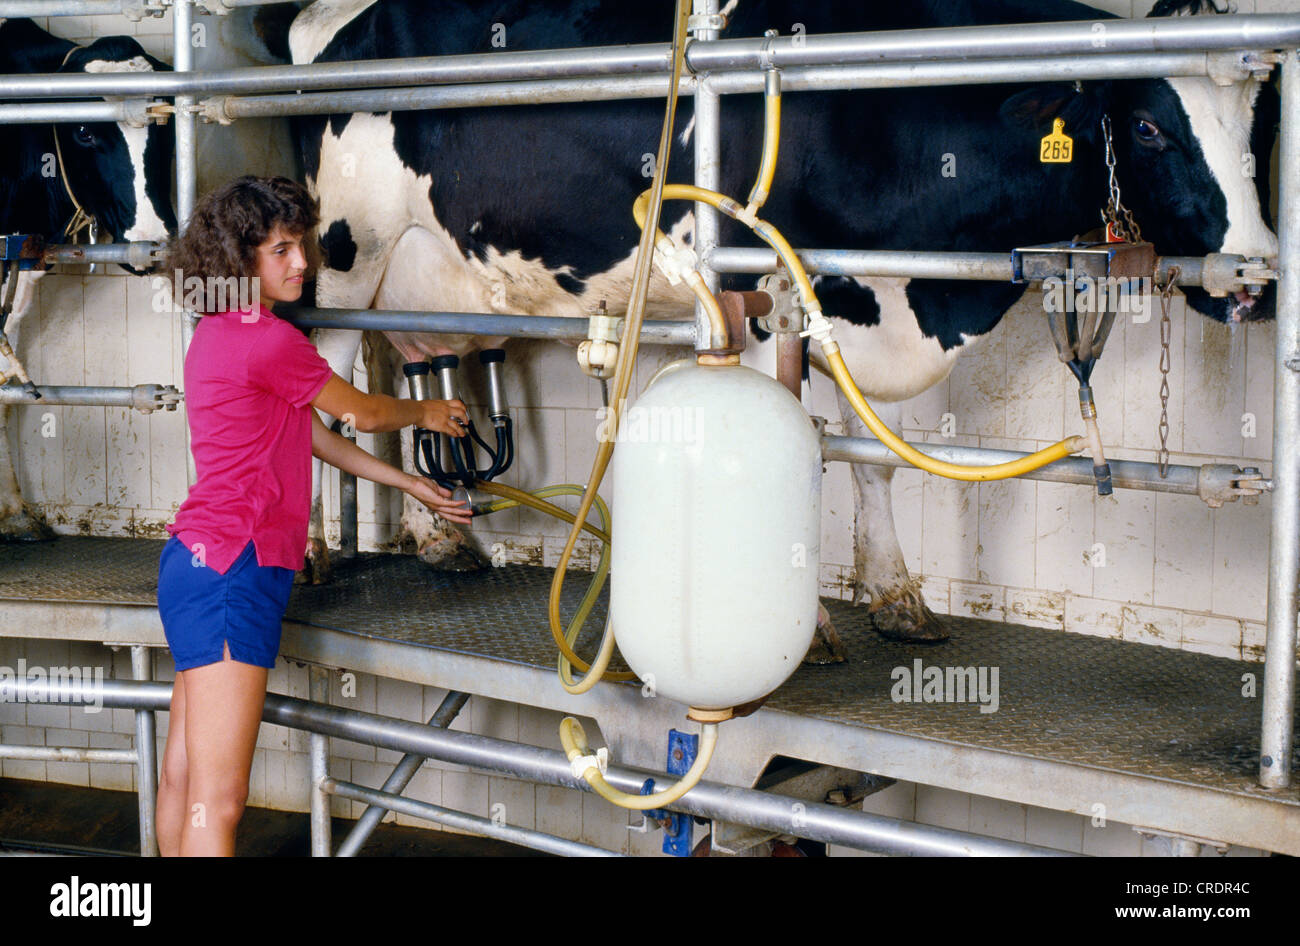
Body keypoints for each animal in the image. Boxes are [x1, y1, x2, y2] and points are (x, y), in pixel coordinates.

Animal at [287, 0, 1279, 641]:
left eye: (1259, 120)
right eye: (1149, 126)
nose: (1256, 274)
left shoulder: (860, 299)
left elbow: (873, 452)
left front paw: (895, 597)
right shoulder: (772, 289)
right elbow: (808, 434)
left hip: (408, 277)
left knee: (386, 370)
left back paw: (440, 537)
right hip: (345, 256)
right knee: (323, 374)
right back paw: (311, 556)